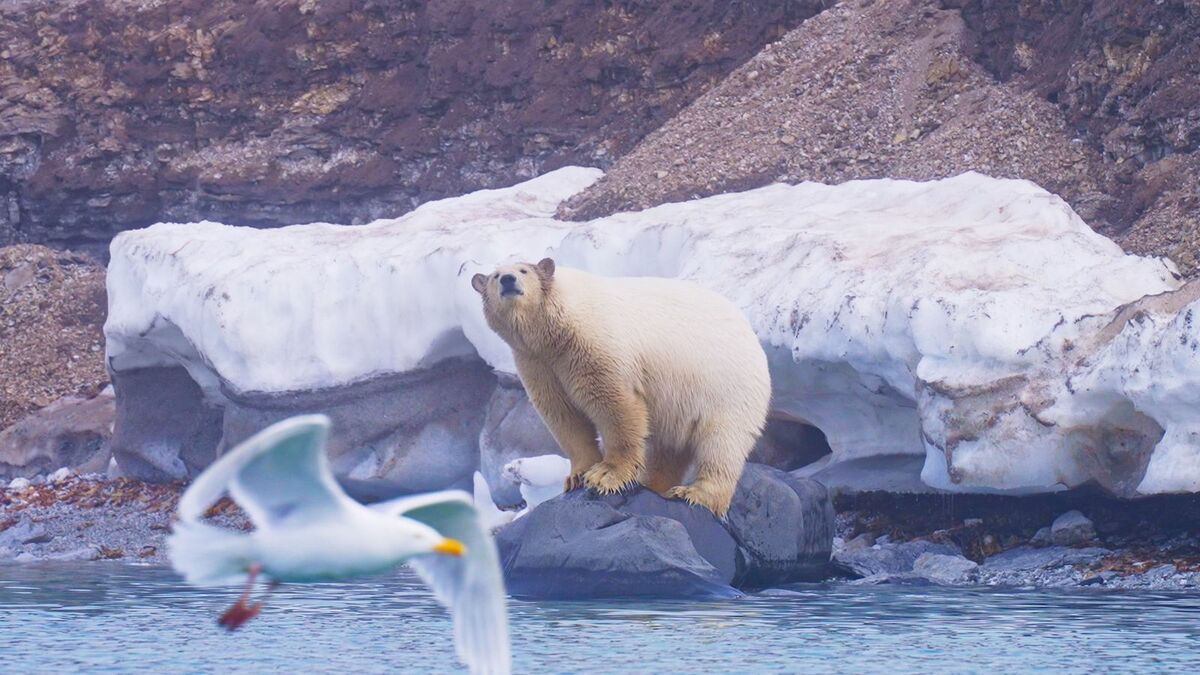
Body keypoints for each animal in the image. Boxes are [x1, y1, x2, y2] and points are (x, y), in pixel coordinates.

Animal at [471, 257, 770, 517]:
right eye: (495, 276)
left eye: (523, 270)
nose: (508, 280)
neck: (556, 326)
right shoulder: (537, 362)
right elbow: (563, 415)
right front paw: (576, 476)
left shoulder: (592, 343)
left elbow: (614, 404)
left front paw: (606, 475)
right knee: (669, 448)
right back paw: (654, 483)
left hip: (727, 388)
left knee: (722, 443)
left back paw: (695, 493)